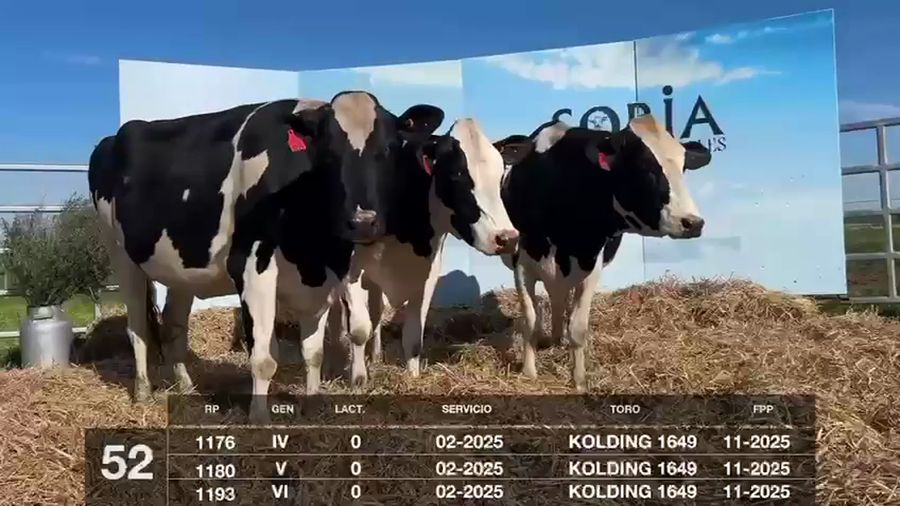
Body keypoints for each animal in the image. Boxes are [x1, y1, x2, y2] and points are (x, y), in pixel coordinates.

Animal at [88, 91, 444, 422]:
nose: (363, 221)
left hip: (183, 269)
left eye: (389, 150)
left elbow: (313, 351)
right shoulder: (252, 267)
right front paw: (259, 418)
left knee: (173, 324)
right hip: (120, 255)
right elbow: (263, 358)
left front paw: (313, 403)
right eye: (329, 154)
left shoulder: (327, 276)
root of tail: (113, 138)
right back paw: (143, 392)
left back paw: (186, 388)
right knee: (138, 328)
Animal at [325, 118, 520, 385]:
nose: (508, 238)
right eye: (456, 174)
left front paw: (412, 377)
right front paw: (358, 381)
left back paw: (374, 357)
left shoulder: (428, 269)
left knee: (376, 312)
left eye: (500, 175)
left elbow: (414, 334)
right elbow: (358, 329)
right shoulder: (350, 268)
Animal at [491, 113, 712, 392]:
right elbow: (530, 321)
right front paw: (529, 374)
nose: (693, 223)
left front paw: (578, 381)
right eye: (644, 168)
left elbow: (577, 328)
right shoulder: (522, 265)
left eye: (683, 168)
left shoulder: (590, 266)